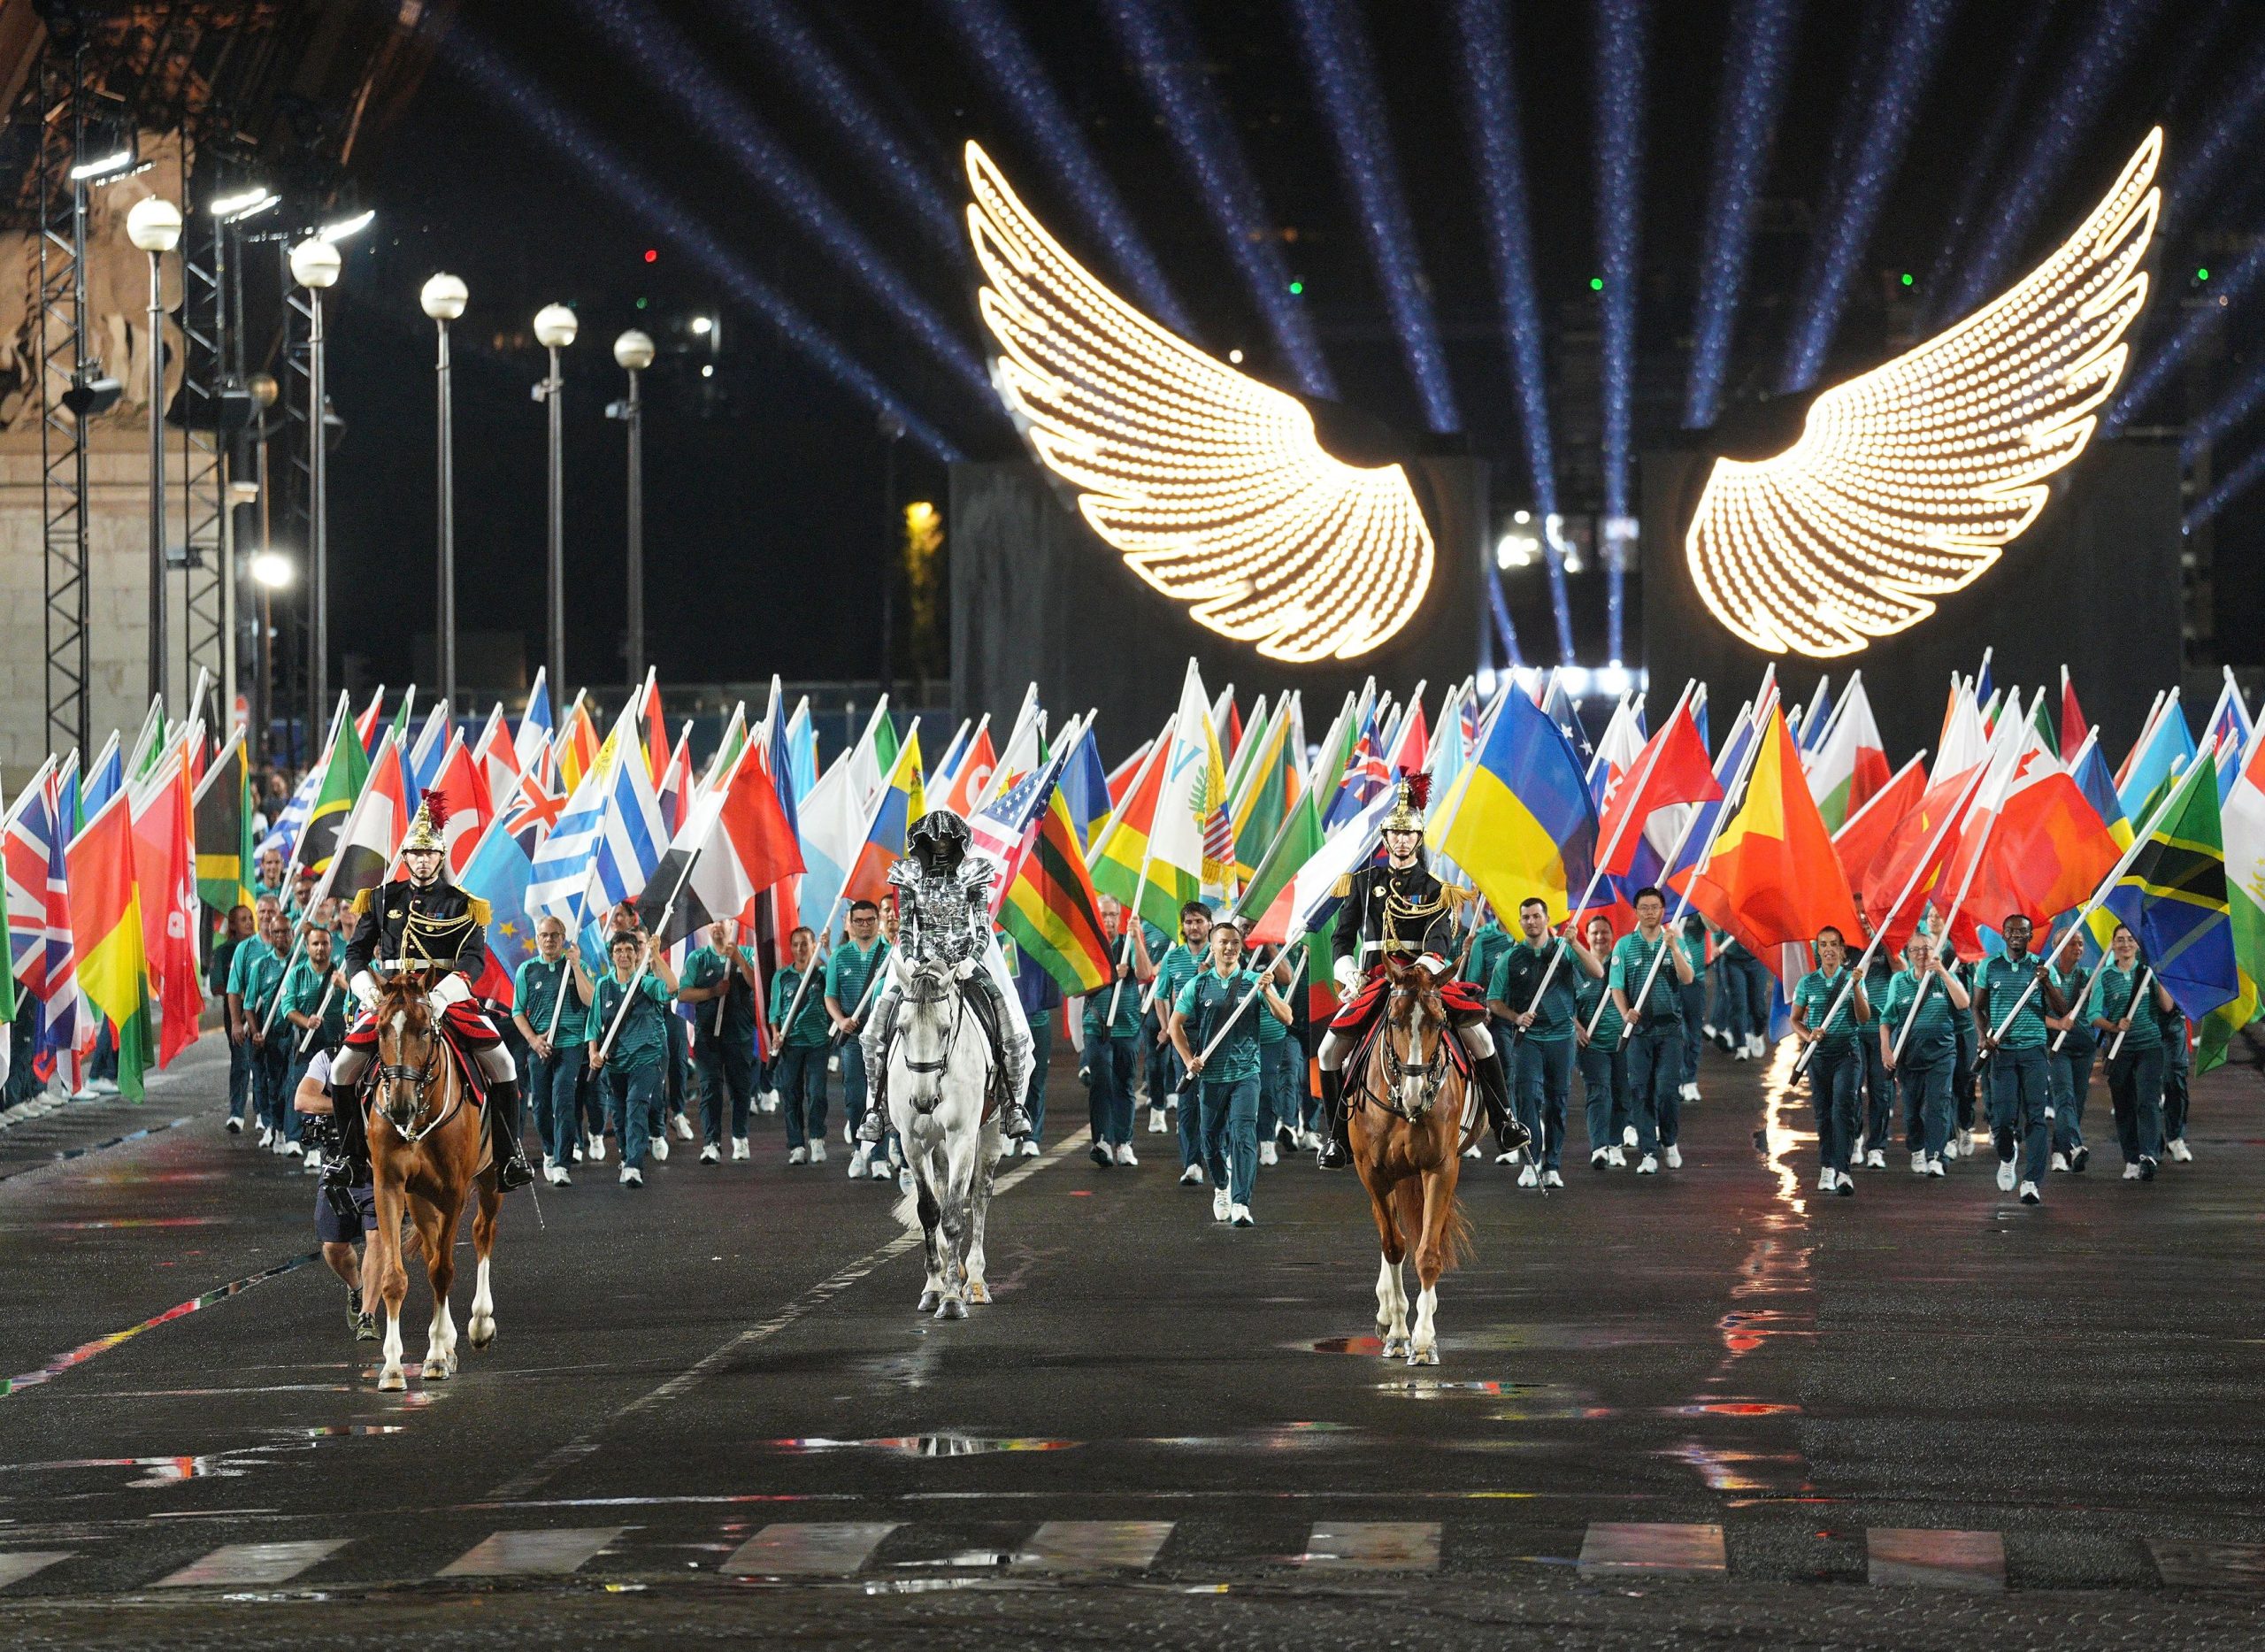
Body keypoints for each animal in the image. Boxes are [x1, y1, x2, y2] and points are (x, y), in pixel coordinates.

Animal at [366, 974, 504, 1387]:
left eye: (425, 1030)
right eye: (380, 1030)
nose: (399, 1107)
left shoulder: (454, 1191)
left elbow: (443, 1271)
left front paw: (437, 1356)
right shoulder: (390, 1187)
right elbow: (396, 1277)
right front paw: (393, 1367)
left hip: (490, 1179)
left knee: (482, 1233)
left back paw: (479, 1324)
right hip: (419, 1198)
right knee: (430, 1251)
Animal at [883, 951, 1001, 1314]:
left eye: (946, 1029)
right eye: (902, 1028)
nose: (923, 1101)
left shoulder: (962, 1136)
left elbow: (952, 1216)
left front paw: (951, 1300)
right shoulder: (913, 1143)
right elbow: (929, 1210)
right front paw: (934, 1288)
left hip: (990, 1132)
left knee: (980, 1195)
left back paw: (974, 1282)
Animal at [1340, 951, 1467, 1368]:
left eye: (1440, 1021)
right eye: (1393, 1020)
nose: (1415, 1094)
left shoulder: (1441, 1168)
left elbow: (1426, 1253)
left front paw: (1424, 1341)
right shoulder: (1373, 1172)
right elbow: (1394, 1245)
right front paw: (1398, 1333)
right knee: (1388, 1232)